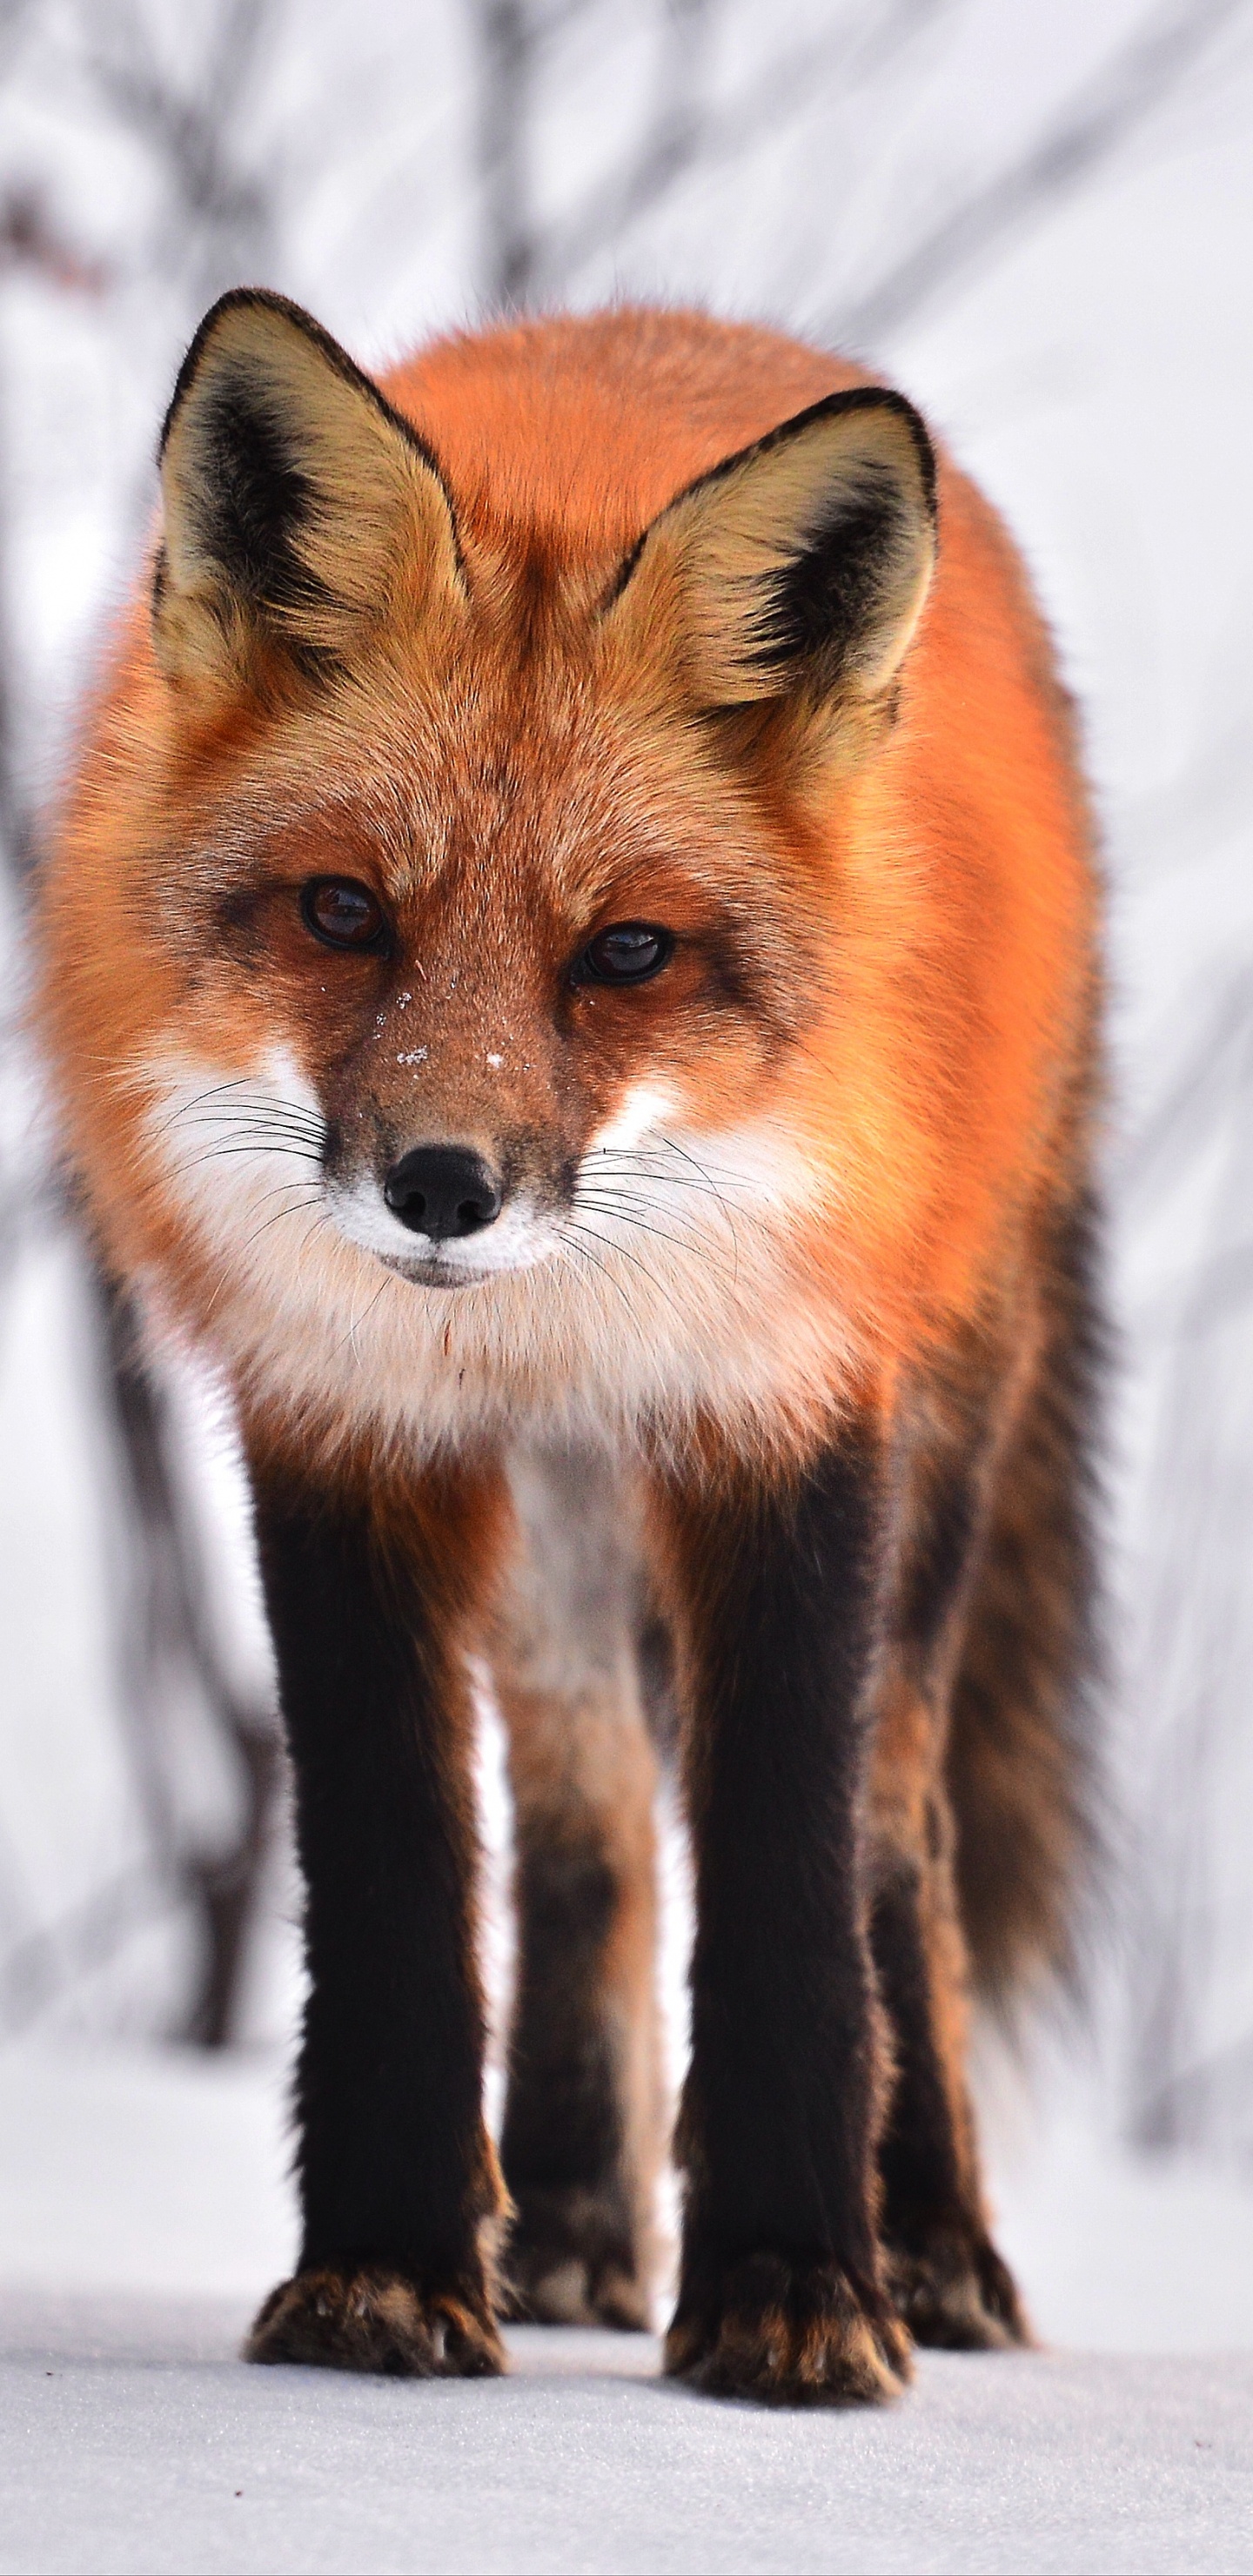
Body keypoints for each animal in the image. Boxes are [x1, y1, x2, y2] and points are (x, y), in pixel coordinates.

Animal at [36, 290, 1101, 2406]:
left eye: (626, 954)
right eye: (343, 911)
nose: (443, 1186)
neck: (547, 1318)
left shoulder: (785, 1414)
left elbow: (786, 1888)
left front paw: (794, 2289)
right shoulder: (346, 1426)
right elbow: (398, 1885)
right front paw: (383, 2272)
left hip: (938, 1443)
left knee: (900, 1832)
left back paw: (933, 2242)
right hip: (554, 1539)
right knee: (587, 1823)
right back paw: (579, 2223)